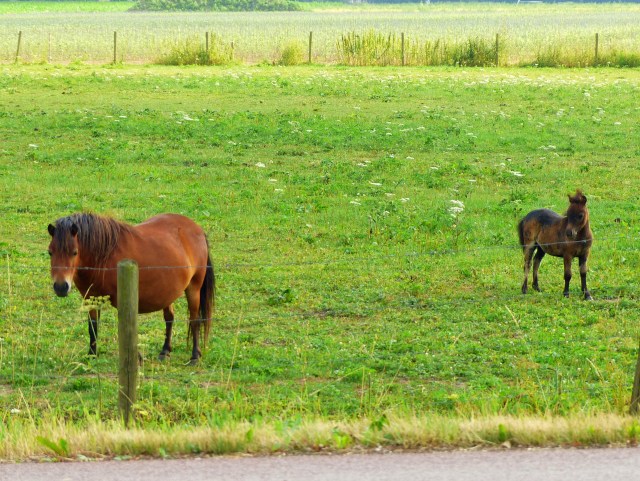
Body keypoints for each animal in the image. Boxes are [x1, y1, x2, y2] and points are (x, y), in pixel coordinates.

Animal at [47, 212, 215, 364]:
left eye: (74, 252)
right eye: (50, 252)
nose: (61, 287)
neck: (103, 257)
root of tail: (197, 228)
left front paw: (137, 357)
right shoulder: (91, 298)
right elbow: (93, 326)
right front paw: (92, 355)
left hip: (194, 289)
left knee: (195, 320)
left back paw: (194, 356)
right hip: (168, 292)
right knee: (169, 318)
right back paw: (165, 352)